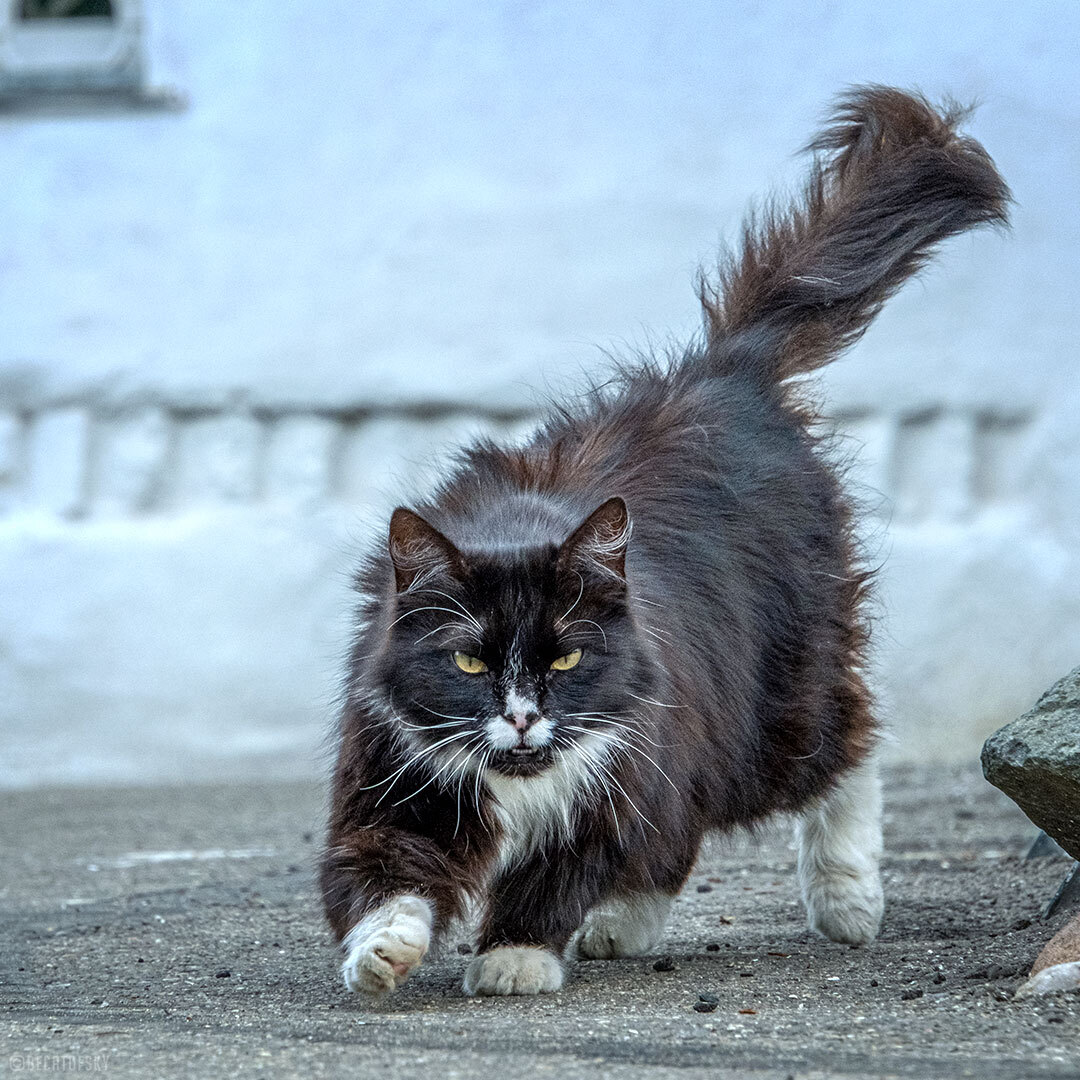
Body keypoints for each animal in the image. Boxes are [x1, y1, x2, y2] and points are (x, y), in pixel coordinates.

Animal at [315, 84, 1006, 993]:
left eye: (567, 658)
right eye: (466, 662)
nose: (525, 718)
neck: (523, 781)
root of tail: (725, 373)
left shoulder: (630, 762)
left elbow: (562, 870)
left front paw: (514, 958)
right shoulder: (392, 770)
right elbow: (378, 872)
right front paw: (384, 952)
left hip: (772, 701)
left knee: (844, 747)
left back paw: (847, 898)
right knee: (678, 835)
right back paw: (626, 928)